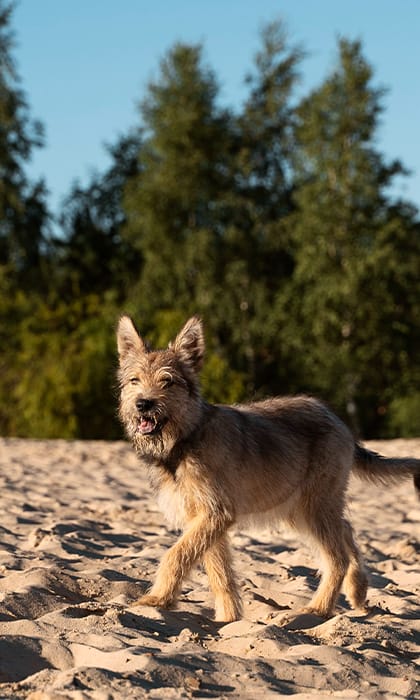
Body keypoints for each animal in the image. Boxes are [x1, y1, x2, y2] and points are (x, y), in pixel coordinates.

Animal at [115, 314, 420, 620]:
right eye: (134, 380)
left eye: (167, 381)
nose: (143, 404)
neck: (186, 437)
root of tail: (339, 422)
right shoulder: (202, 517)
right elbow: (219, 572)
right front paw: (228, 619)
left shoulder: (216, 512)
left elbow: (176, 554)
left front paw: (157, 599)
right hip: (302, 506)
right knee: (345, 530)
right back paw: (357, 588)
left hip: (314, 505)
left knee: (337, 557)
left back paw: (318, 608)